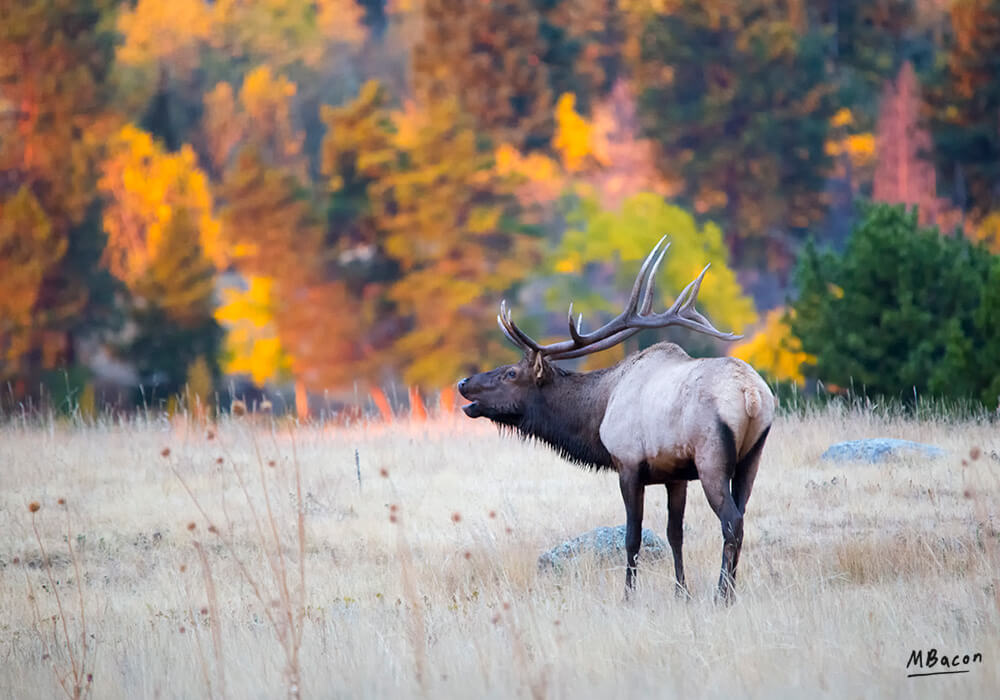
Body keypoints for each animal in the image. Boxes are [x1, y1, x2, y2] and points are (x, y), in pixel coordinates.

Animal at [457, 238, 775, 602]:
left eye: (511, 373)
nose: (463, 383)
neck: (599, 414)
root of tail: (752, 395)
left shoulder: (628, 464)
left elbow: (632, 537)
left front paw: (628, 596)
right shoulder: (675, 474)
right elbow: (674, 534)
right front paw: (681, 592)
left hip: (711, 457)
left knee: (731, 521)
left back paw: (723, 595)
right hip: (752, 455)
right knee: (742, 516)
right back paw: (730, 591)